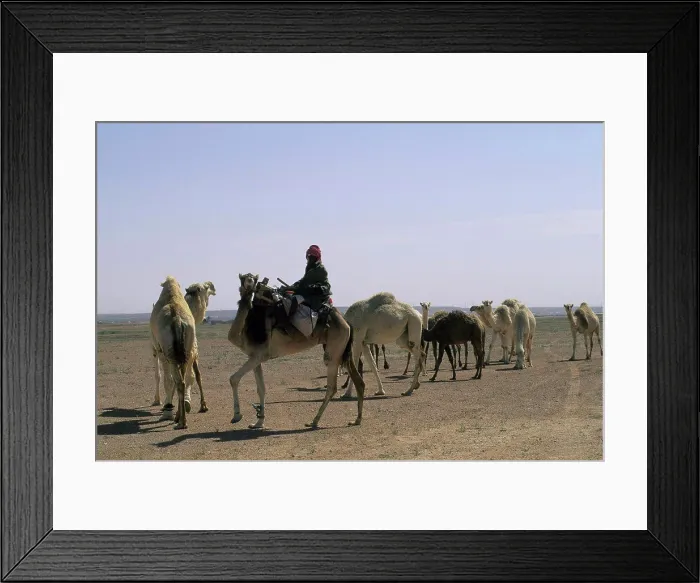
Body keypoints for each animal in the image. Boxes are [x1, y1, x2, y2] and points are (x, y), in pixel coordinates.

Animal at [149, 276, 202, 429]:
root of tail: (177, 320)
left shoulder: (158, 349)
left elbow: (166, 379)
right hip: (186, 351)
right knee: (182, 382)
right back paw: (181, 419)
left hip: (168, 353)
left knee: (173, 380)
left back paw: (176, 417)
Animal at [152, 280, 215, 412]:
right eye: (206, 288)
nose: (213, 287)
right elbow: (191, 376)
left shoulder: (191, 351)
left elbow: (193, 376)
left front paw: (195, 403)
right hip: (156, 349)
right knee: (159, 375)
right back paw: (158, 400)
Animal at [227, 274, 365, 430]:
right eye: (243, 278)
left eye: (253, 278)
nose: (249, 283)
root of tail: (347, 322)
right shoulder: (256, 356)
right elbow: (261, 388)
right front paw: (258, 422)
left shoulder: (260, 354)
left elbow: (233, 379)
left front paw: (237, 416)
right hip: (343, 350)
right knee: (359, 381)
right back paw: (356, 420)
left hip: (334, 351)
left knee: (332, 386)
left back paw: (314, 421)